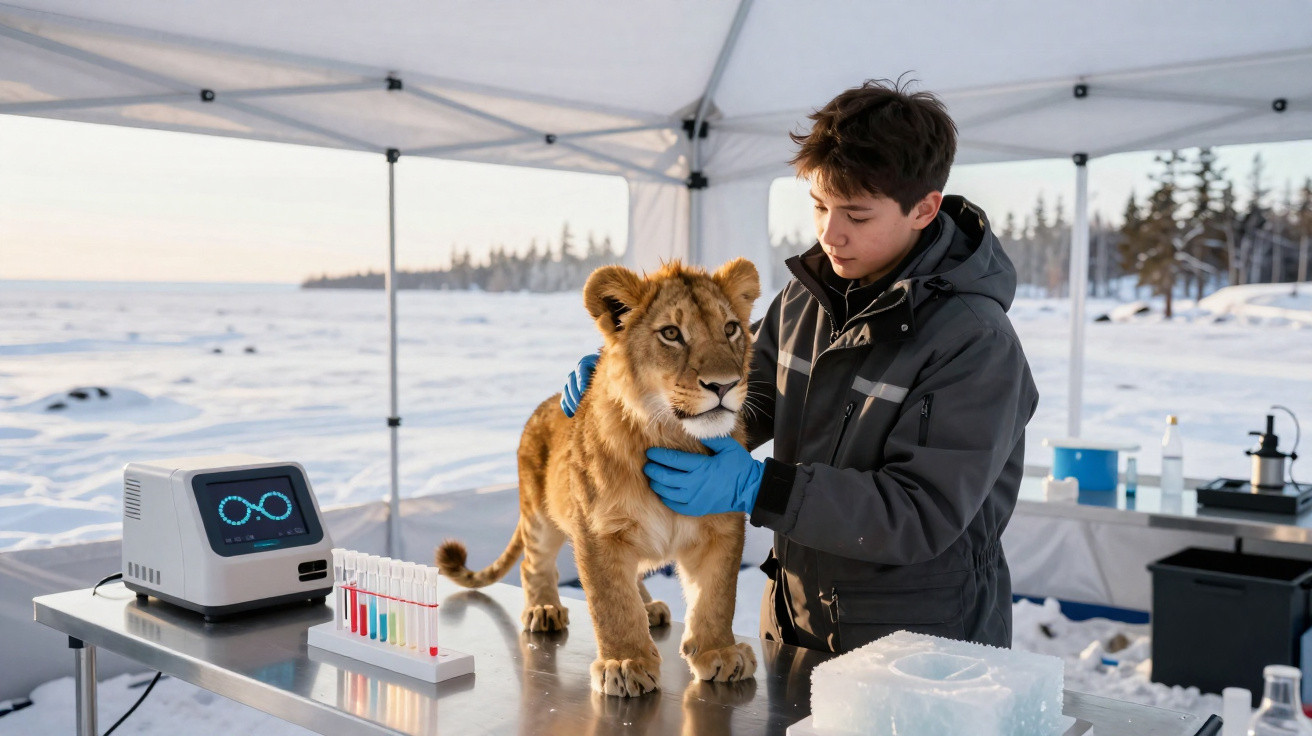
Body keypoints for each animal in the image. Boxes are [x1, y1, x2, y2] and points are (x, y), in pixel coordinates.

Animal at [436, 257, 762, 697]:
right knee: (534, 564)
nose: (724, 385)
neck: (673, 436)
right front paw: (625, 663)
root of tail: (542, 406)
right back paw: (544, 609)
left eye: (730, 328)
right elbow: (611, 602)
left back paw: (650, 607)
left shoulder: (721, 524)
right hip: (538, 516)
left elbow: (716, 596)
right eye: (671, 334)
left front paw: (721, 653)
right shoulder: (598, 529)